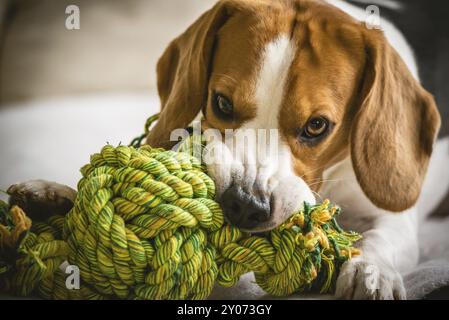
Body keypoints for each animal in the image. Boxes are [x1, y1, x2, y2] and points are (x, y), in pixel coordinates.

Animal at [8, 0, 446, 300]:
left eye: (317, 126)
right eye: (221, 103)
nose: (245, 205)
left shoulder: (393, 218)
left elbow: (382, 238)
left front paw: (371, 272)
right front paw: (55, 196)